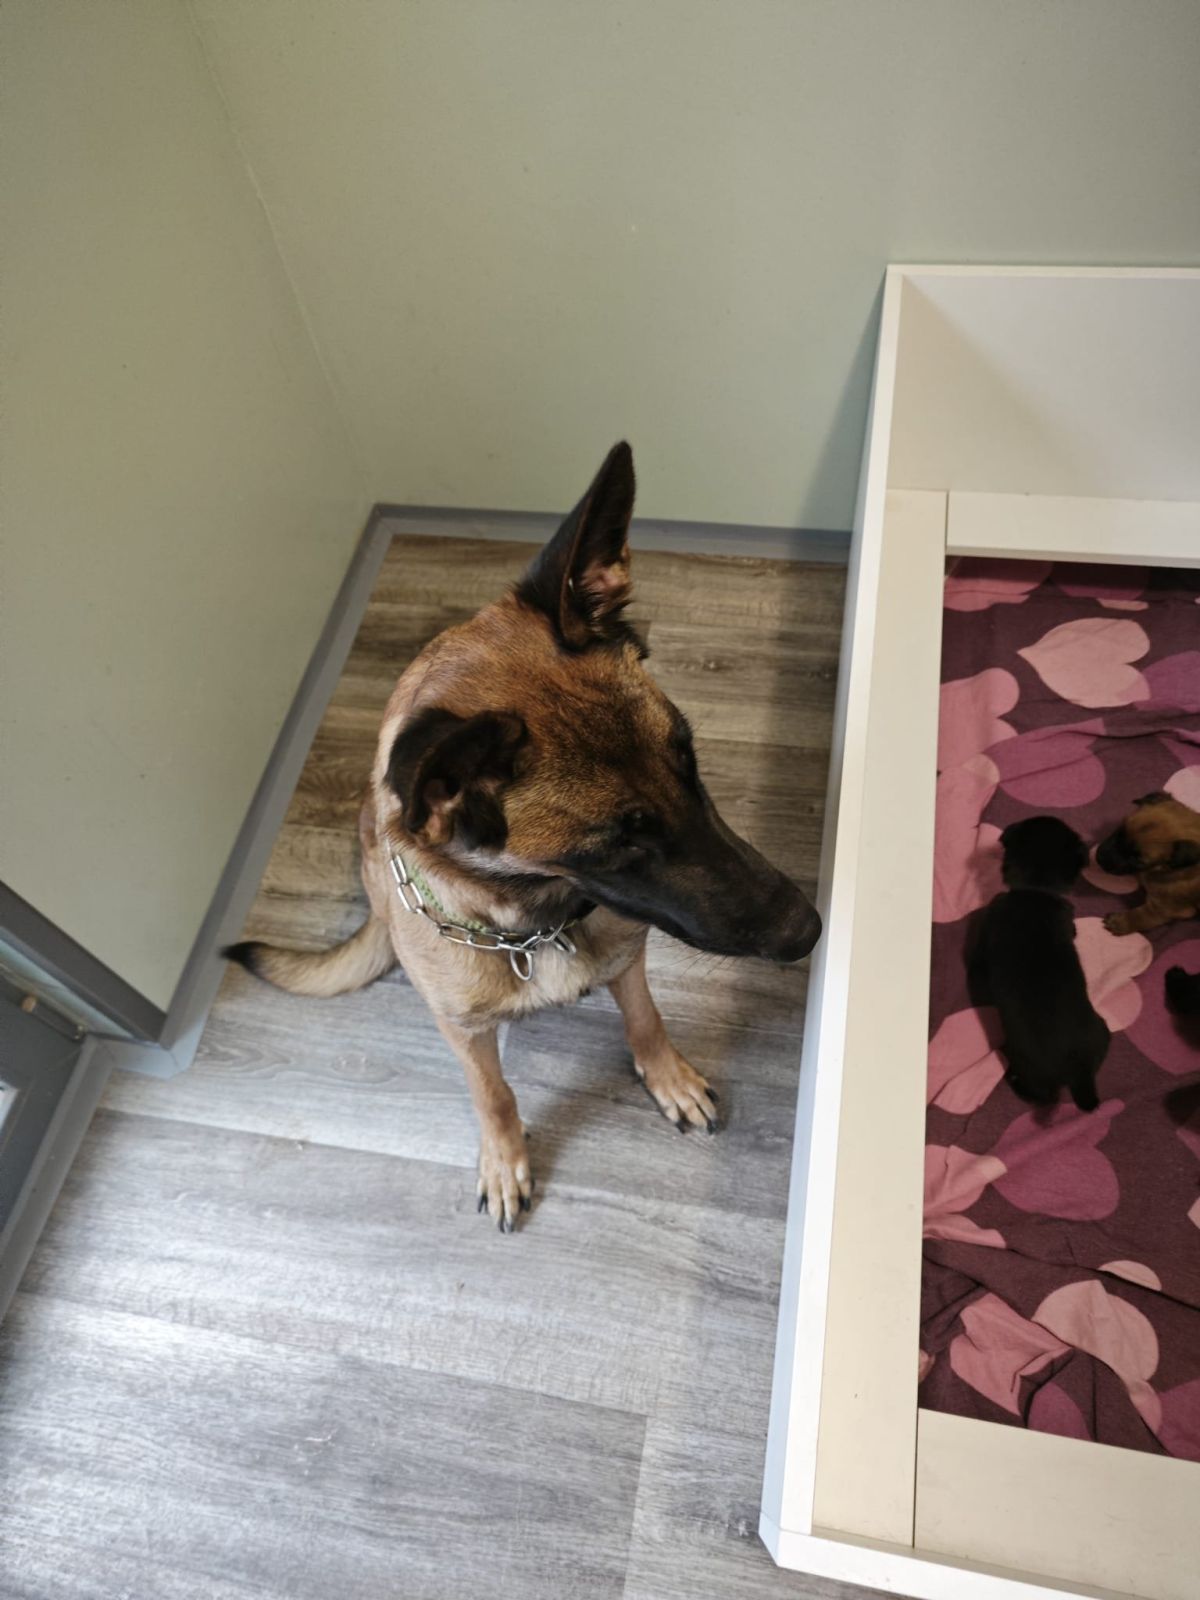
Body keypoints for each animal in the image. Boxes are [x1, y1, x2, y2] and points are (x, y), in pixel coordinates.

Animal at [226, 443, 821, 1229]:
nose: (809, 929)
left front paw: (666, 1076)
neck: (534, 926)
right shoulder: (463, 1030)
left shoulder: (628, 960)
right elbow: (494, 1093)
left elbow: (646, 1020)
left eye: (689, 760)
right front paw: (504, 1159)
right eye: (619, 842)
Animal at [1096, 792, 1200, 936]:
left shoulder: (1166, 908)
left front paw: (1120, 922)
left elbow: (1142, 915)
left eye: (1136, 860)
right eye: (1120, 831)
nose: (1099, 858)